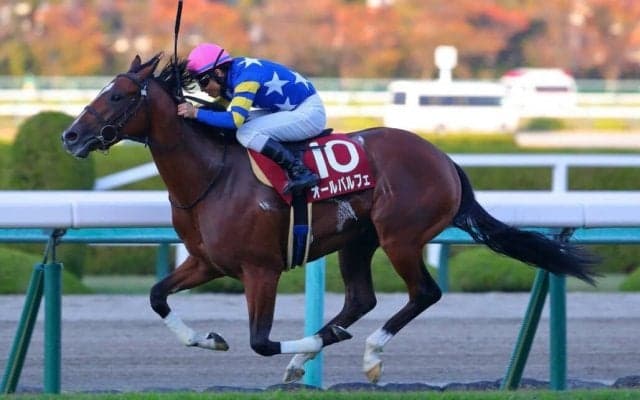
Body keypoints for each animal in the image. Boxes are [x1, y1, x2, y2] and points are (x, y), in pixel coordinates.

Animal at [61, 53, 597, 385]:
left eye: (116, 96)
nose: (70, 136)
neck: (210, 175)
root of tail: (443, 158)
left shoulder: (261, 269)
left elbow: (261, 342)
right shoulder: (207, 262)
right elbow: (156, 297)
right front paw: (208, 339)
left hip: (400, 236)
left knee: (424, 293)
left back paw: (367, 354)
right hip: (358, 240)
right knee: (361, 299)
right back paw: (315, 351)